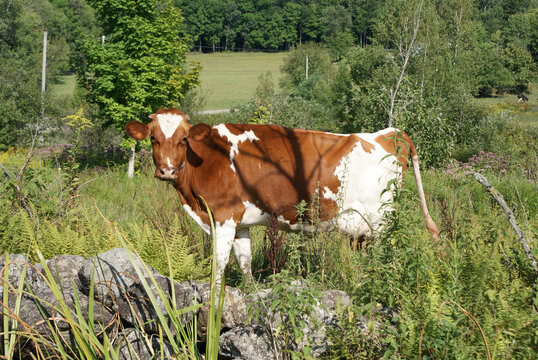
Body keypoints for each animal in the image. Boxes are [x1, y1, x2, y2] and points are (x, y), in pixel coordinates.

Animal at [124, 108, 436, 280]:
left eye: (183, 139)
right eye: (154, 139)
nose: (166, 171)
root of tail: (386, 134)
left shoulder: (223, 216)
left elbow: (219, 266)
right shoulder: (240, 222)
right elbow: (245, 264)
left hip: (381, 221)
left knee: (391, 257)